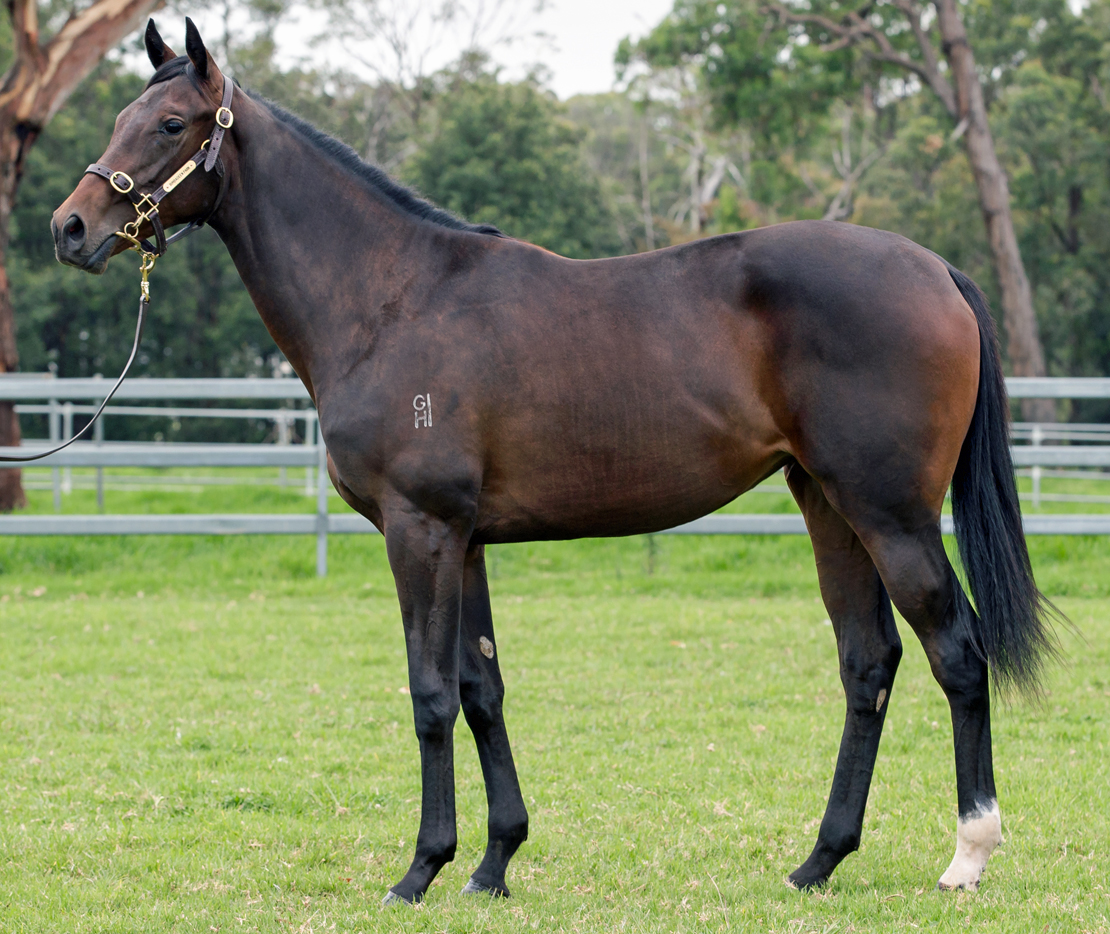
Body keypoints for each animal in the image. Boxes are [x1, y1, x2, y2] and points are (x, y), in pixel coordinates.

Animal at [52, 16, 1052, 901]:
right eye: (120, 118)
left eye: (170, 124)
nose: (70, 227)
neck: (392, 299)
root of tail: (935, 269)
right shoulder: (467, 541)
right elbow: (482, 688)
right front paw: (493, 864)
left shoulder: (419, 531)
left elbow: (429, 694)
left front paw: (420, 871)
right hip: (827, 505)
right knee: (868, 662)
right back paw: (819, 862)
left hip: (892, 513)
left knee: (957, 654)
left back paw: (967, 856)